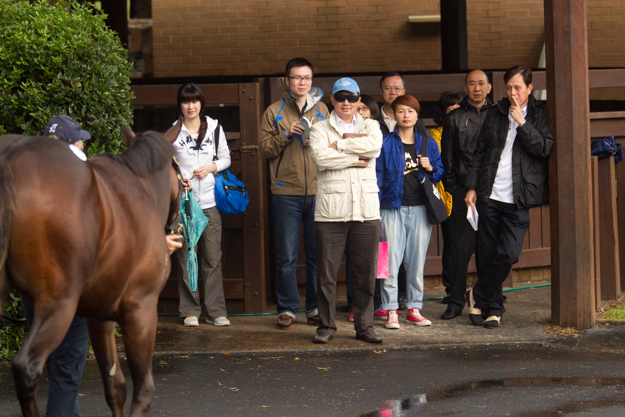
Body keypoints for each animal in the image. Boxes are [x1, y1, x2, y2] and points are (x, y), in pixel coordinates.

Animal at [0, 131, 180, 416]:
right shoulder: (141, 309)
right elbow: (143, 390)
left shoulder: (99, 317)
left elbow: (115, 386)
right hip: (58, 303)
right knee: (26, 369)